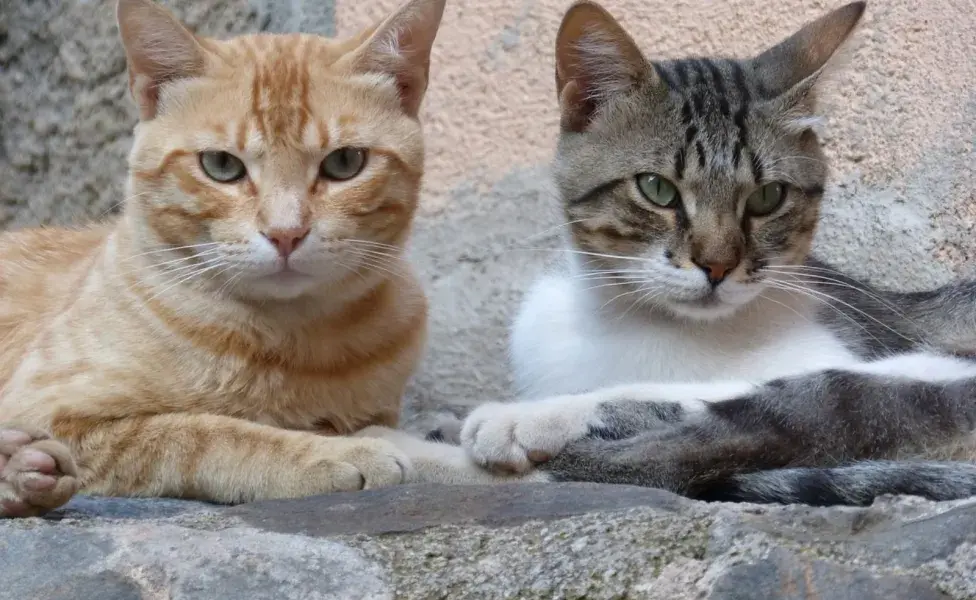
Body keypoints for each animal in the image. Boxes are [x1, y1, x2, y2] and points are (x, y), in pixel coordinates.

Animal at [0, 0, 462, 516]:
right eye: (221, 166)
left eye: (345, 163)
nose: (285, 233)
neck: (296, 345)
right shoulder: (50, 410)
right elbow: (204, 434)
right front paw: (330, 453)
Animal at [454, 0, 976, 506]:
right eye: (656, 188)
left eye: (768, 197)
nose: (718, 264)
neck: (637, 325)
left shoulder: (910, 359)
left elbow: (693, 393)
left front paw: (529, 417)